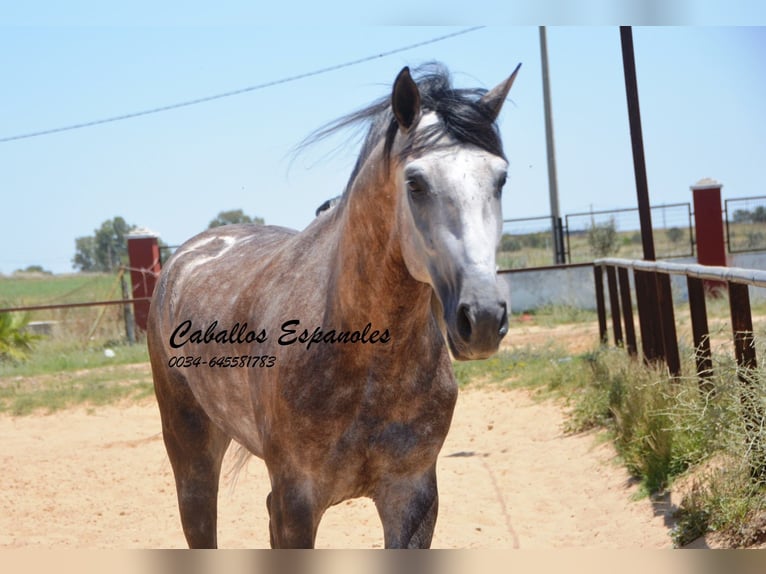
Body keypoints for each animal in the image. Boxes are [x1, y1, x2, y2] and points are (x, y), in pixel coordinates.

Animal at [146, 60, 520, 552]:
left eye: (500, 179)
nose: (482, 318)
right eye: (415, 182)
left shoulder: (413, 497)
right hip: (191, 448)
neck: (365, 363)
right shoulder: (298, 501)